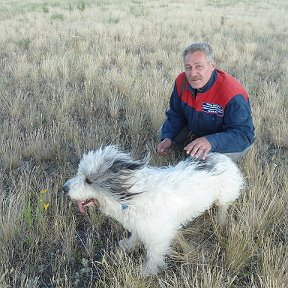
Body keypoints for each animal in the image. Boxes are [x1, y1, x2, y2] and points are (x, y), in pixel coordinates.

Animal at [62, 145, 244, 276]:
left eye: (88, 180)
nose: (64, 188)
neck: (131, 196)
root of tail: (222, 157)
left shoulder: (158, 237)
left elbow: (154, 256)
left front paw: (147, 271)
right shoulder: (139, 225)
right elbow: (135, 236)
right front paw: (128, 245)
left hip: (224, 195)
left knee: (223, 207)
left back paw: (221, 220)